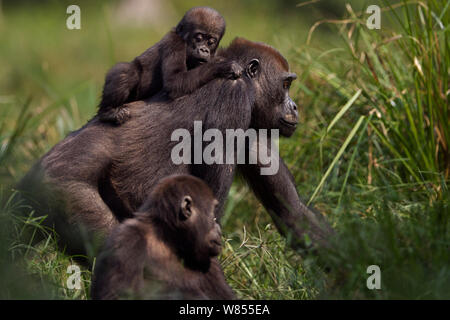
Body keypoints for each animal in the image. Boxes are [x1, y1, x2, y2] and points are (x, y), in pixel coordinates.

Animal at [97, 6, 239, 124]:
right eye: (198, 38)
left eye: (211, 42)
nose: (204, 50)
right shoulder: (174, 42)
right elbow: (174, 81)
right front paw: (222, 66)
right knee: (126, 71)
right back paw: (107, 112)